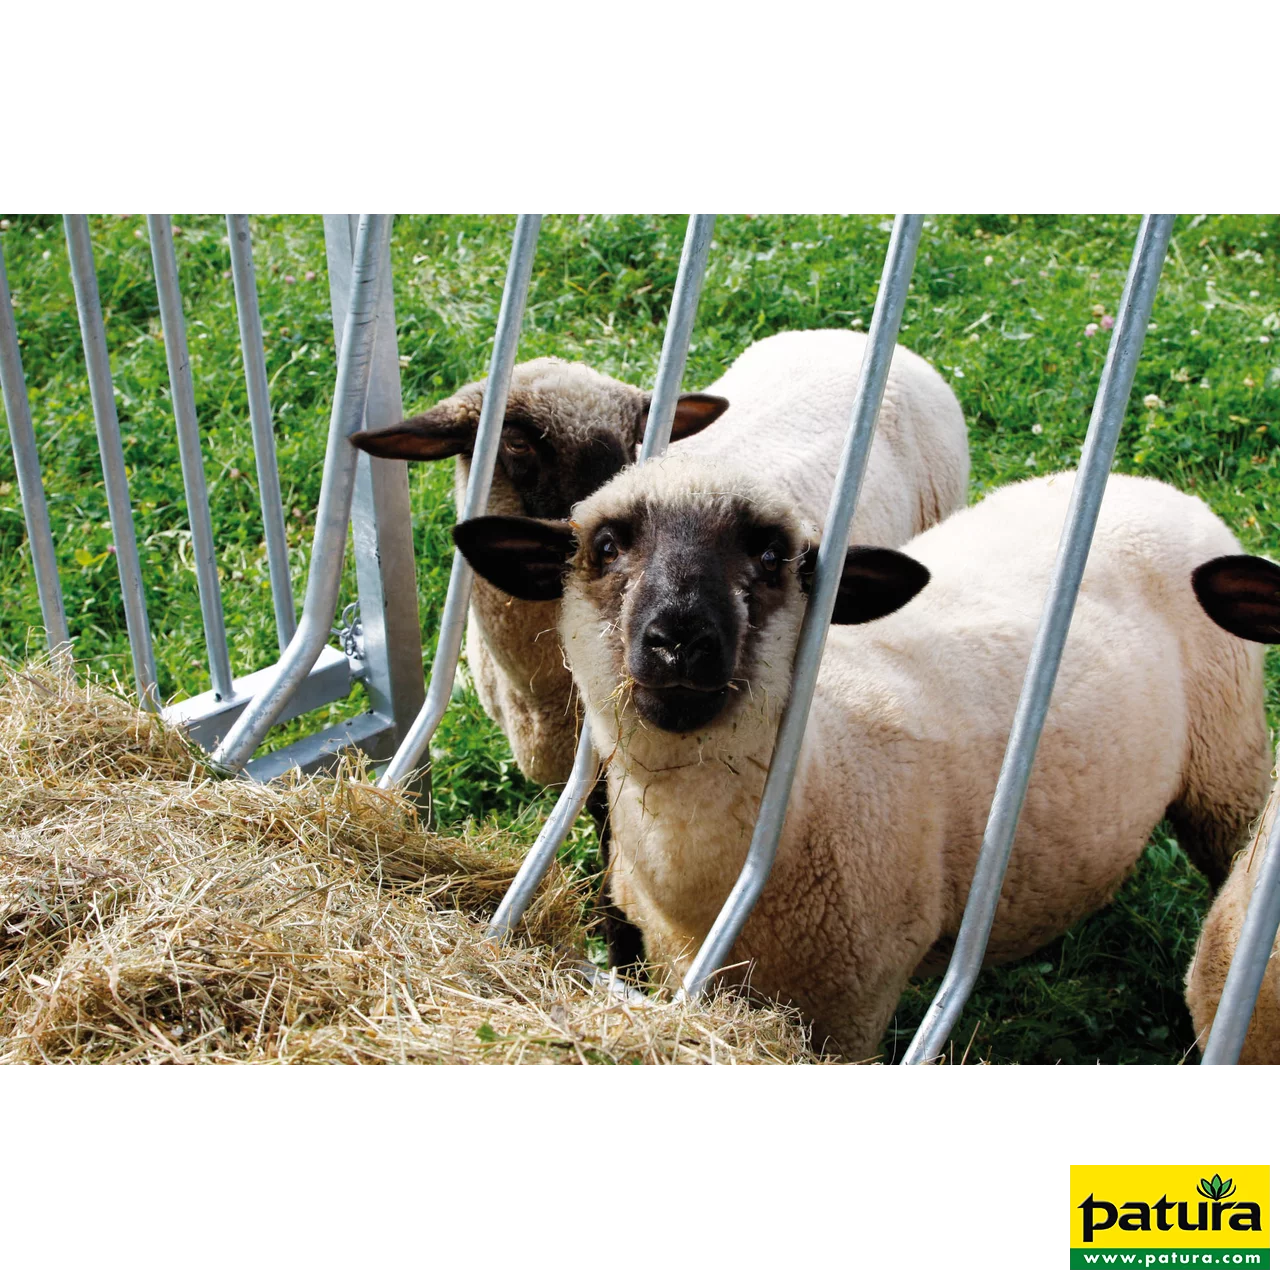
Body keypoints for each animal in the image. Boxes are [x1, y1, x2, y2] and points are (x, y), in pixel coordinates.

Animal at [452, 463, 1270, 1060]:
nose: (679, 637)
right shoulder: (679, 962)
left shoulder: (852, 1000)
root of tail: (1146, 482)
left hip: (1228, 770)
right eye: (606, 547)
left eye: (773, 555)